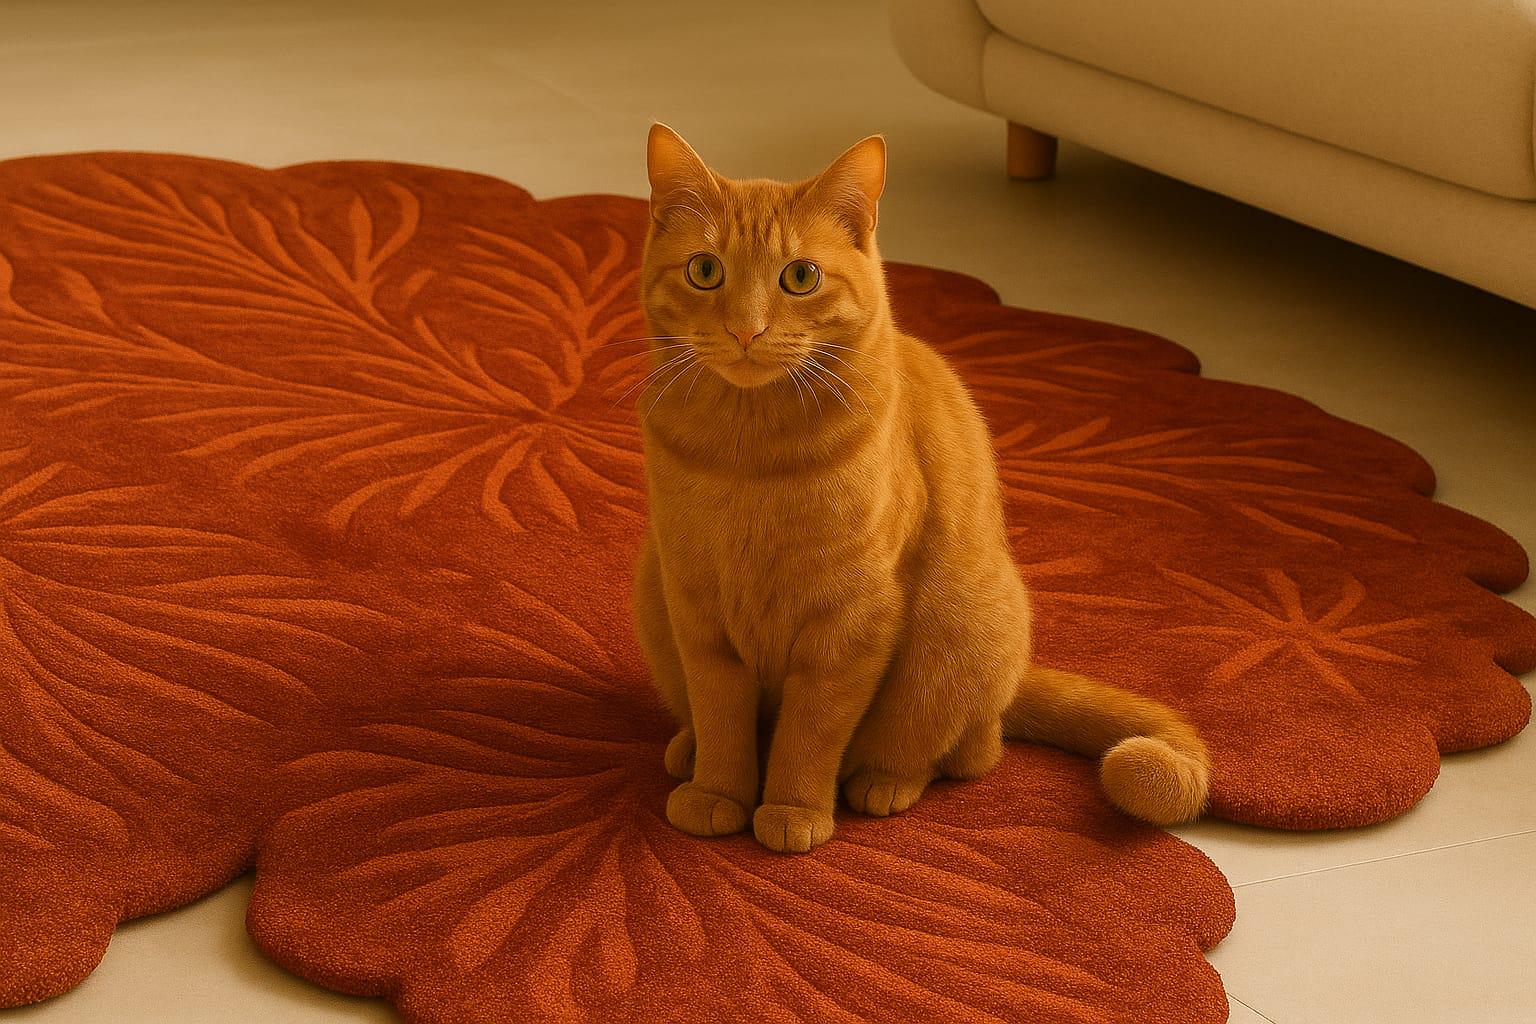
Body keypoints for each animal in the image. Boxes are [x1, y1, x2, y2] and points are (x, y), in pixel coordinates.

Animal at [632, 123, 1210, 853]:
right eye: (705, 271)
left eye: (800, 277)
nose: (746, 328)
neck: (749, 456)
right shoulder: (696, 606)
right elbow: (722, 716)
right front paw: (717, 793)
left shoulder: (852, 621)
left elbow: (808, 733)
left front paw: (793, 809)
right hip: (650, 591)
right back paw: (686, 752)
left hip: (962, 624)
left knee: (968, 753)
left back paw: (886, 782)